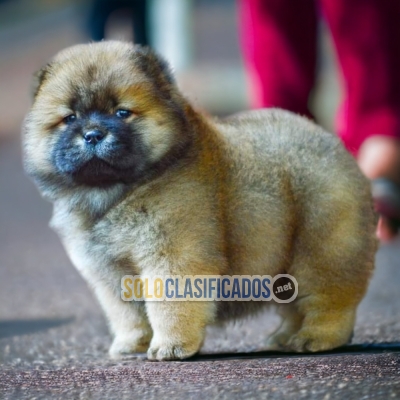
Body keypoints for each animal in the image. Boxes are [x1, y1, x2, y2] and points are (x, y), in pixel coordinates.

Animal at [22, 42, 378, 360]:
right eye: (70, 118)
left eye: (122, 113)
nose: (93, 134)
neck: (116, 192)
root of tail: (333, 144)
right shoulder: (108, 272)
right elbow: (127, 314)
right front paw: (132, 344)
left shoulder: (171, 254)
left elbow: (170, 305)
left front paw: (170, 347)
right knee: (295, 305)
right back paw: (283, 338)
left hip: (322, 249)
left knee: (329, 301)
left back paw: (315, 338)